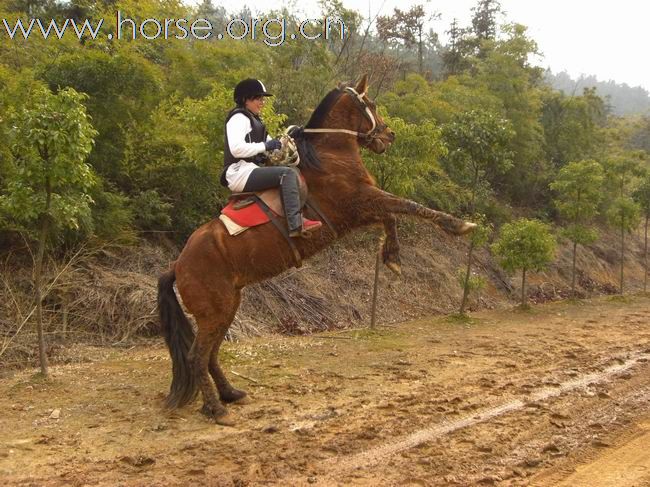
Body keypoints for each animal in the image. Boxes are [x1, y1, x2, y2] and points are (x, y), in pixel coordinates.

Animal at [156, 74, 470, 426]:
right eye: (371, 104)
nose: (389, 135)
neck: (331, 156)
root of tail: (177, 265)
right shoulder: (359, 201)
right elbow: (406, 205)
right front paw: (456, 226)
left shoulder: (360, 210)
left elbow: (393, 214)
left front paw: (391, 257)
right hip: (215, 310)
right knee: (197, 355)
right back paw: (217, 408)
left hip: (227, 306)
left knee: (210, 353)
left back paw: (230, 394)